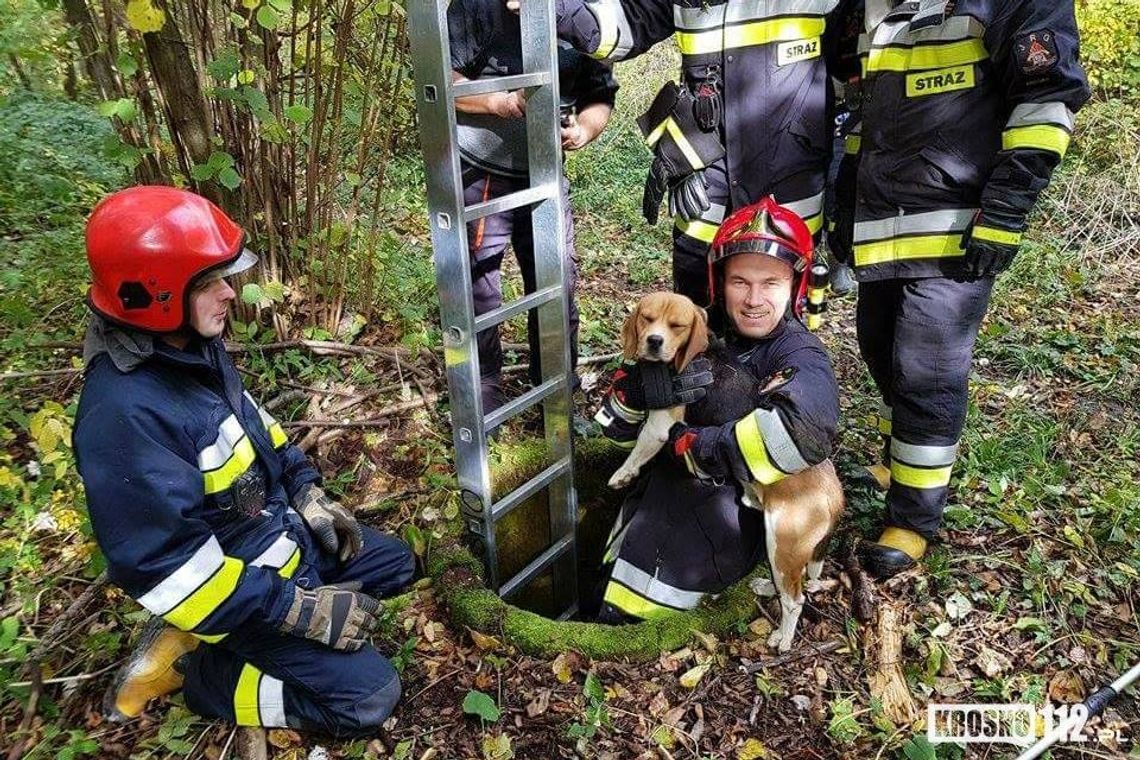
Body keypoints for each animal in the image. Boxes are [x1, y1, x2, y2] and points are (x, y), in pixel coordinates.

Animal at [73, 185, 417, 756]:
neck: (167, 360)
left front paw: (324, 513)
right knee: (360, 689)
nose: (227, 300)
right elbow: (169, 557)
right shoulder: (124, 437)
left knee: (400, 562)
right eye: (210, 284)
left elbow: (267, 432)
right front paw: (323, 614)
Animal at [611, 291, 843, 656]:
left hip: (782, 543)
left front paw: (623, 474)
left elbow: (638, 453)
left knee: (795, 600)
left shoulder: (660, 428)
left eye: (677, 325)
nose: (654, 341)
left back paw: (783, 638)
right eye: (647, 318)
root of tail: (834, 496)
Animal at [829, 0, 1094, 576]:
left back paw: (904, 533)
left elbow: (1042, 96)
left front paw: (997, 225)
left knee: (922, 372)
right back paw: (887, 467)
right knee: (881, 350)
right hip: (883, 298)